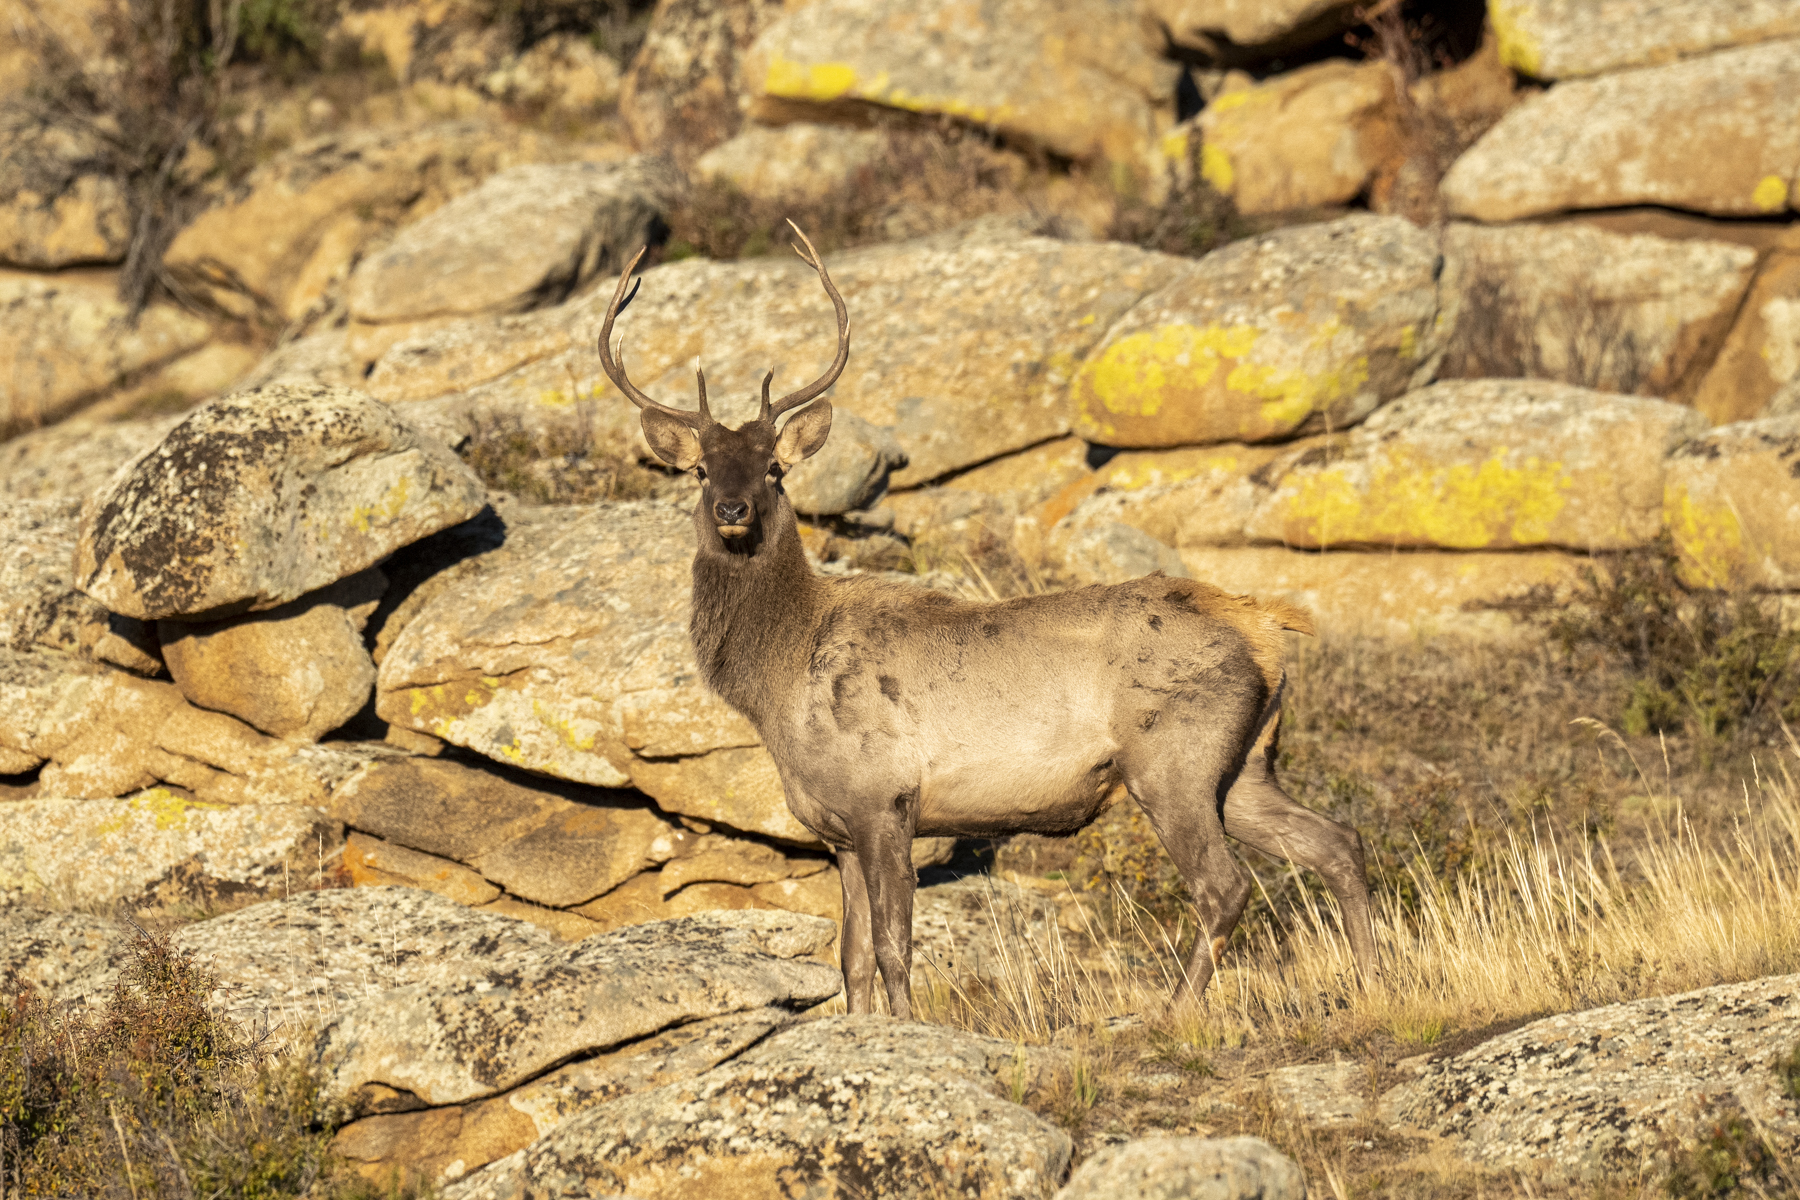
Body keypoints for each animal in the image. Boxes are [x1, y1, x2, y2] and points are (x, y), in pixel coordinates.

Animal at [595, 225, 1378, 1020]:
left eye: (774, 469)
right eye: (700, 470)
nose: (734, 509)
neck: (780, 682)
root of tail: (1267, 628)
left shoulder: (887, 797)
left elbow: (892, 949)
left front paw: (908, 1029)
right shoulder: (837, 832)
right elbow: (850, 961)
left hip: (1173, 758)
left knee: (1225, 885)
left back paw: (1176, 1013)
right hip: (1246, 764)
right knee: (1336, 841)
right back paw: (1373, 980)